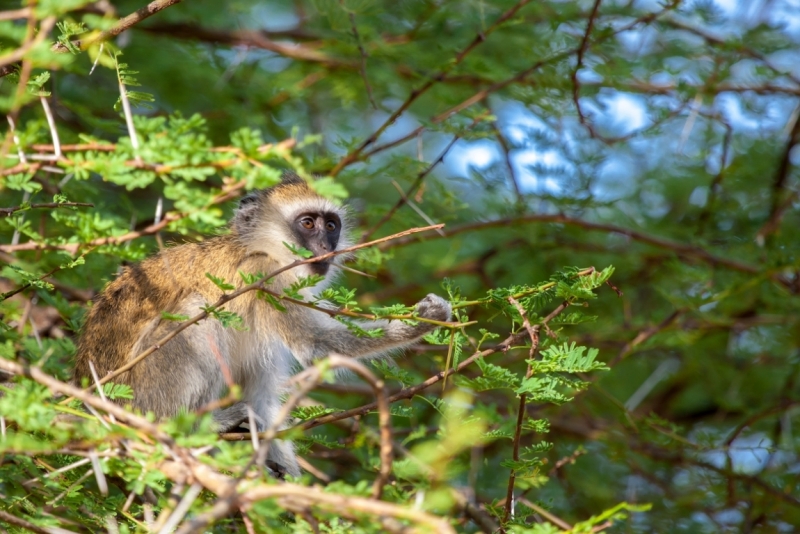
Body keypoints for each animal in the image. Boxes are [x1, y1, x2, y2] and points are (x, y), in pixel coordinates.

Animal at [74, 175, 454, 478]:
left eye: (331, 226)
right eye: (307, 223)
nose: (324, 247)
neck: (261, 248)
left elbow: (262, 395)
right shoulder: (263, 277)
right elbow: (316, 342)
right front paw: (424, 319)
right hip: (143, 395)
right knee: (196, 314)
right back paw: (191, 428)